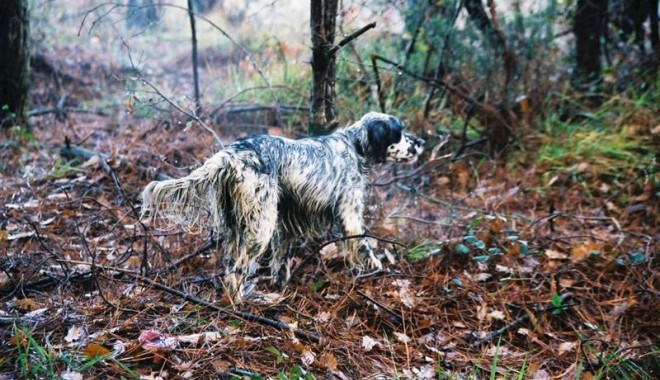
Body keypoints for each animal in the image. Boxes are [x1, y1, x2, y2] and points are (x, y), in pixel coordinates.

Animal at [142, 111, 426, 298]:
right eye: (399, 133)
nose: (422, 142)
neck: (354, 147)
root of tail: (231, 154)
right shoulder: (350, 213)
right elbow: (364, 246)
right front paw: (377, 271)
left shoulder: (287, 223)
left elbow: (282, 260)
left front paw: (281, 287)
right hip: (260, 226)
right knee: (237, 271)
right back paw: (241, 303)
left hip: (234, 224)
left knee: (230, 264)